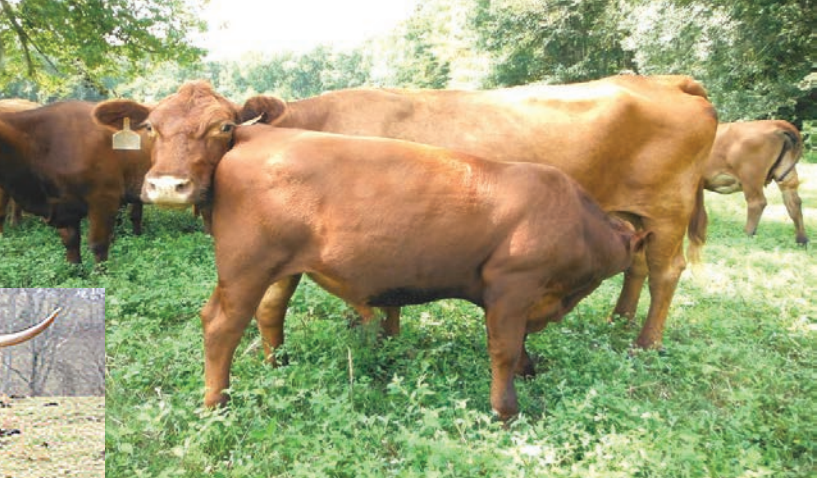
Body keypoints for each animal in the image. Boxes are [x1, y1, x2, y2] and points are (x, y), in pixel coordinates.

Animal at [97, 83, 650, 418]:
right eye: (149, 127)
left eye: (221, 124)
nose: (168, 185)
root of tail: (260, 137)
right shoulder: (513, 287)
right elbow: (504, 348)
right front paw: (506, 409)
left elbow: (520, 348)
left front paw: (529, 372)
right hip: (244, 268)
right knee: (221, 325)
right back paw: (217, 403)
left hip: (277, 268)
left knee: (269, 312)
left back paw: (277, 367)